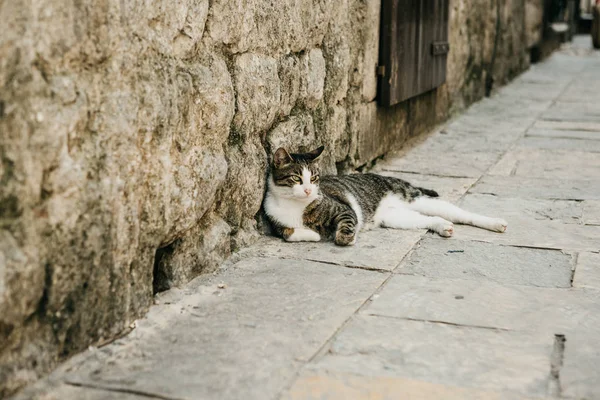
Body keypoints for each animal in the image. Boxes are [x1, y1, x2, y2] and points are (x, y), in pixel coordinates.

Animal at [262, 145, 506, 245]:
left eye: (314, 178)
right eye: (296, 178)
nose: (308, 190)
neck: (295, 205)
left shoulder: (344, 209)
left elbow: (347, 225)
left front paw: (345, 237)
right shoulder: (275, 221)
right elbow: (289, 233)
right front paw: (312, 234)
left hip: (415, 197)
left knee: (461, 214)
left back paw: (495, 223)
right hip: (398, 218)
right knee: (428, 219)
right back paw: (442, 226)